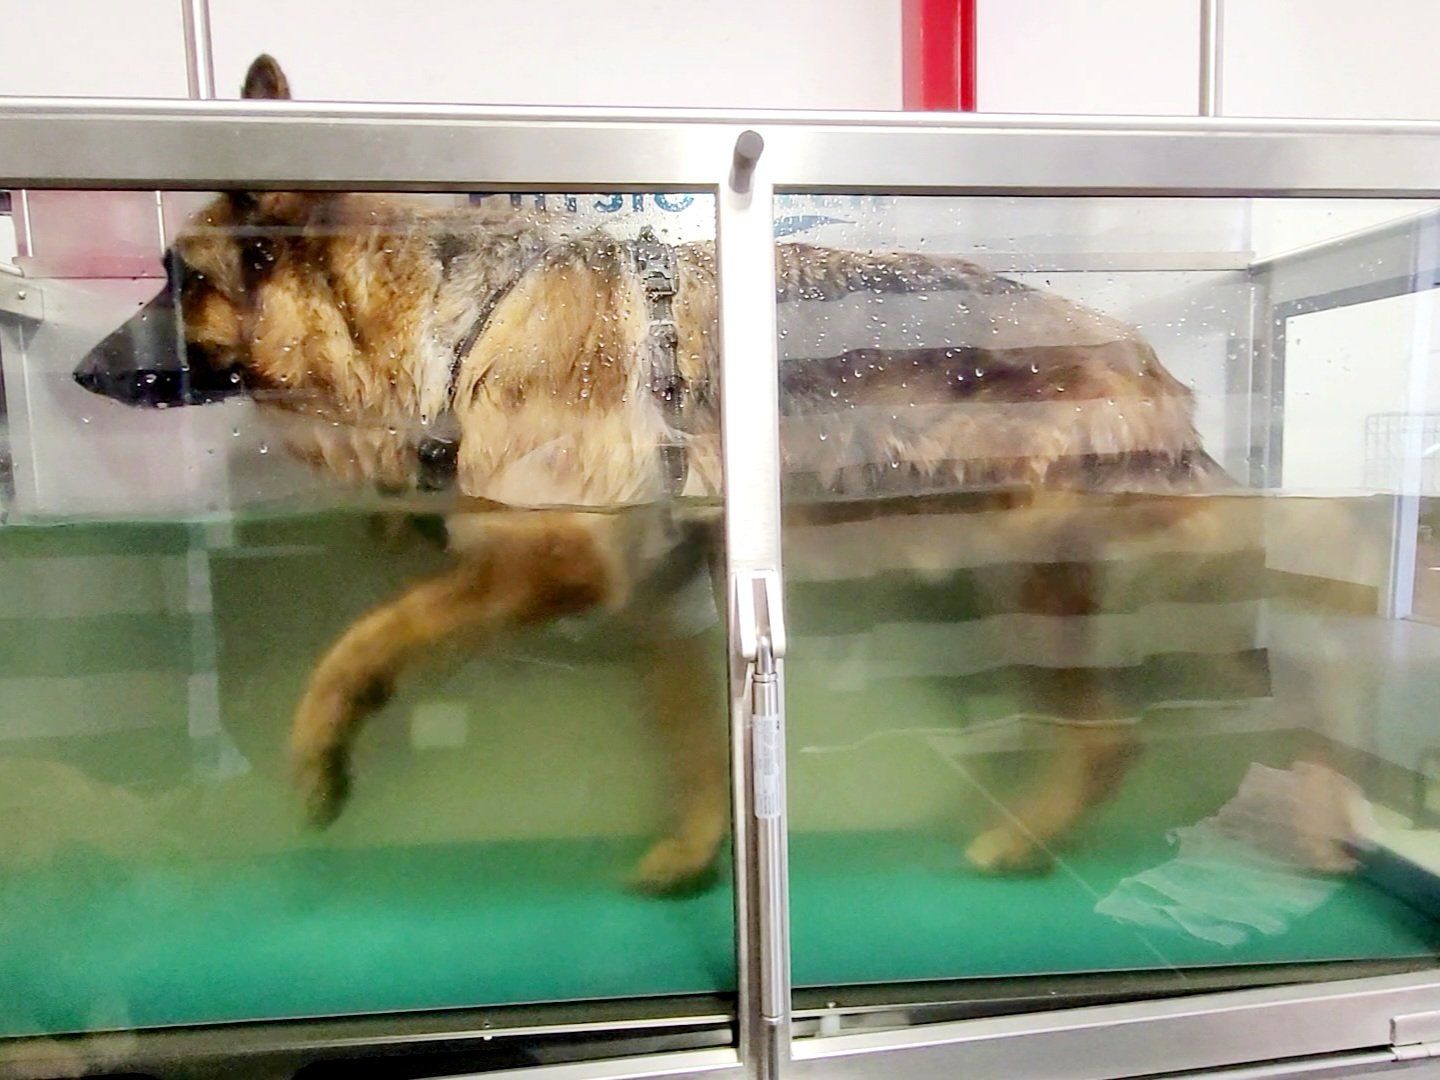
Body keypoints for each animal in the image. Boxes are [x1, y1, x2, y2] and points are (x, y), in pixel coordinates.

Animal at [73, 55, 1246, 891]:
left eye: (178, 277)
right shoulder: (661, 598)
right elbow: (689, 738)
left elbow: (370, 637)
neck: (466, 324)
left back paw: (1029, 842)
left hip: (1032, 574)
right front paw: (692, 855)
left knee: (1114, 733)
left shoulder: (557, 559)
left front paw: (321, 752)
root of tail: (1154, 363)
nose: (79, 373)